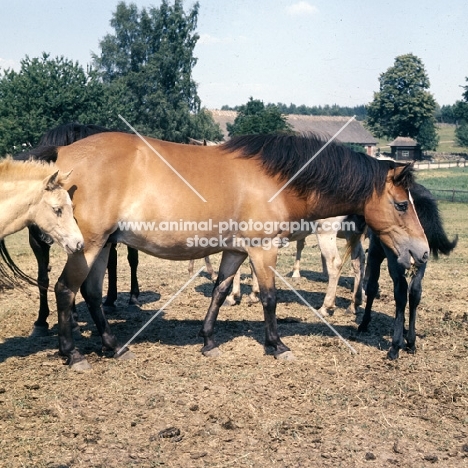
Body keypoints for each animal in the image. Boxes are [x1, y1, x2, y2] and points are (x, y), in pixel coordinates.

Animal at [24, 132, 428, 370]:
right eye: (401, 204)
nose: (422, 252)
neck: (277, 178)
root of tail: (63, 154)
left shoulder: (237, 251)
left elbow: (220, 291)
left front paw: (208, 341)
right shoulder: (263, 250)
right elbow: (269, 297)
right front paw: (277, 345)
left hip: (103, 245)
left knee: (91, 293)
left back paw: (112, 345)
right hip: (89, 246)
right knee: (65, 290)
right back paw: (72, 353)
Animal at [358, 182, 458, 358]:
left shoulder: (375, 254)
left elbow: (372, 287)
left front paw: (364, 323)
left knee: (401, 291)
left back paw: (395, 346)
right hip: (422, 259)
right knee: (415, 292)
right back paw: (411, 341)